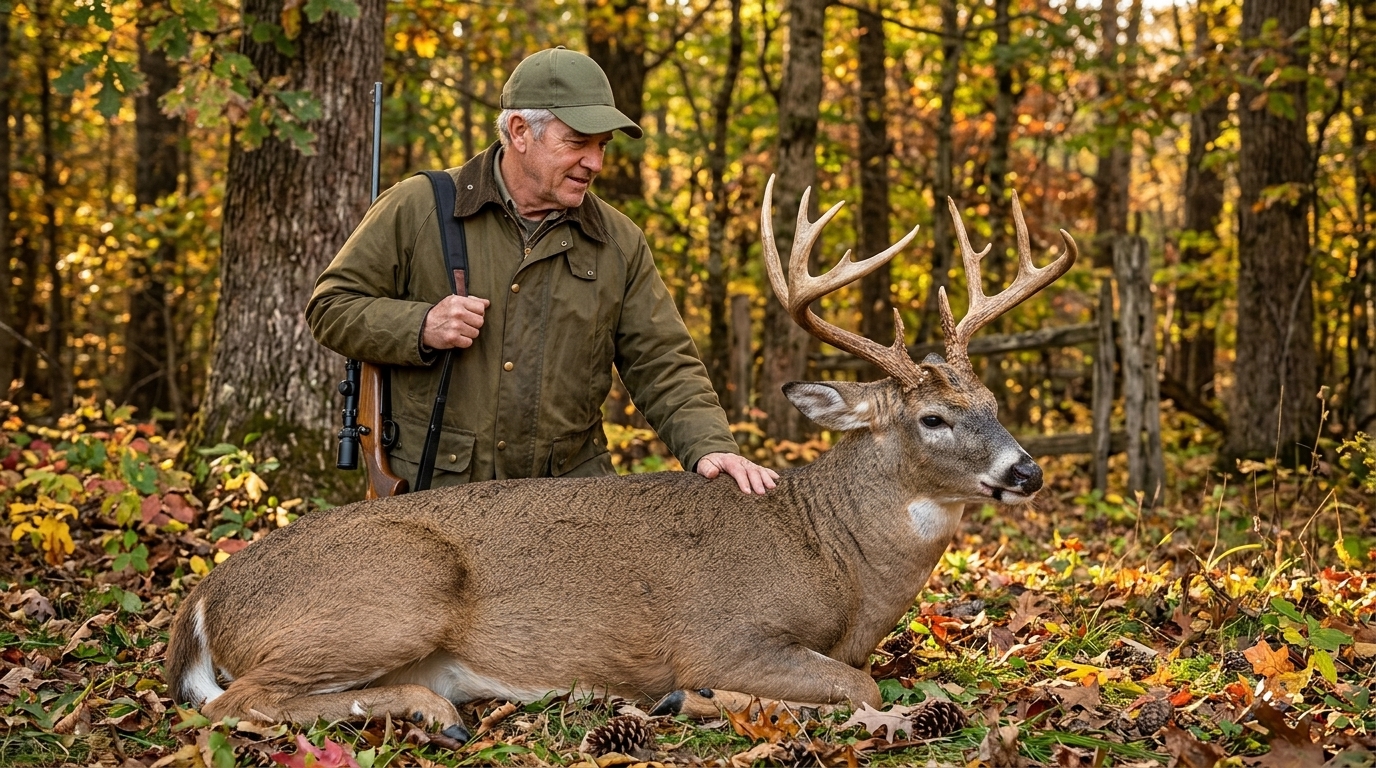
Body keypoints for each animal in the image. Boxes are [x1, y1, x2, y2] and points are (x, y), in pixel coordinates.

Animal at [165, 177, 1076, 741]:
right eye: (933, 418)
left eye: (996, 405)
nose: (1026, 472)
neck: (836, 560)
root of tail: (203, 599)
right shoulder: (721, 632)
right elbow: (864, 687)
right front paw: (693, 697)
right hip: (397, 587)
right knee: (235, 702)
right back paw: (437, 713)